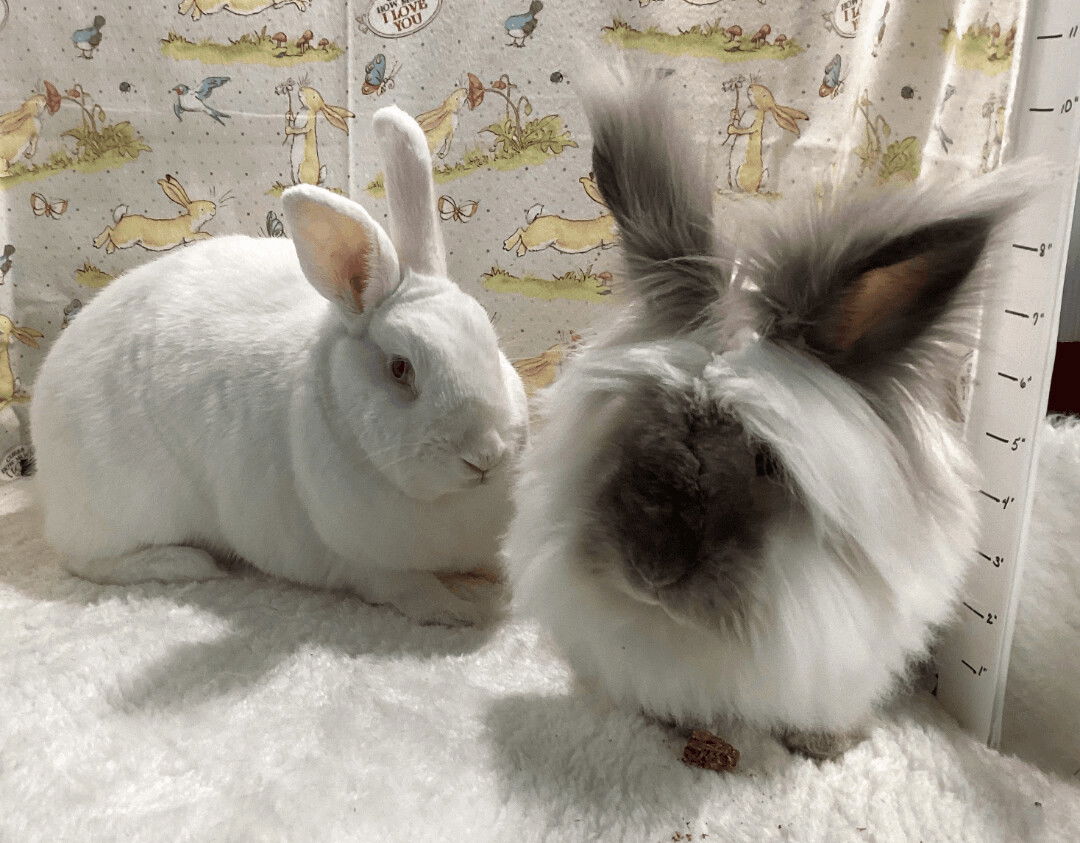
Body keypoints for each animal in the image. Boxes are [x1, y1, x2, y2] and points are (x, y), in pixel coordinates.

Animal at [29, 105, 527, 626]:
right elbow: (416, 592)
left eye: (491, 342)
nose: (486, 454)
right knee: (85, 561)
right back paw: (188, 563)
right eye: (399, 369)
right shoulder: (365, 567)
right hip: (123, 508)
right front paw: (466, 610)